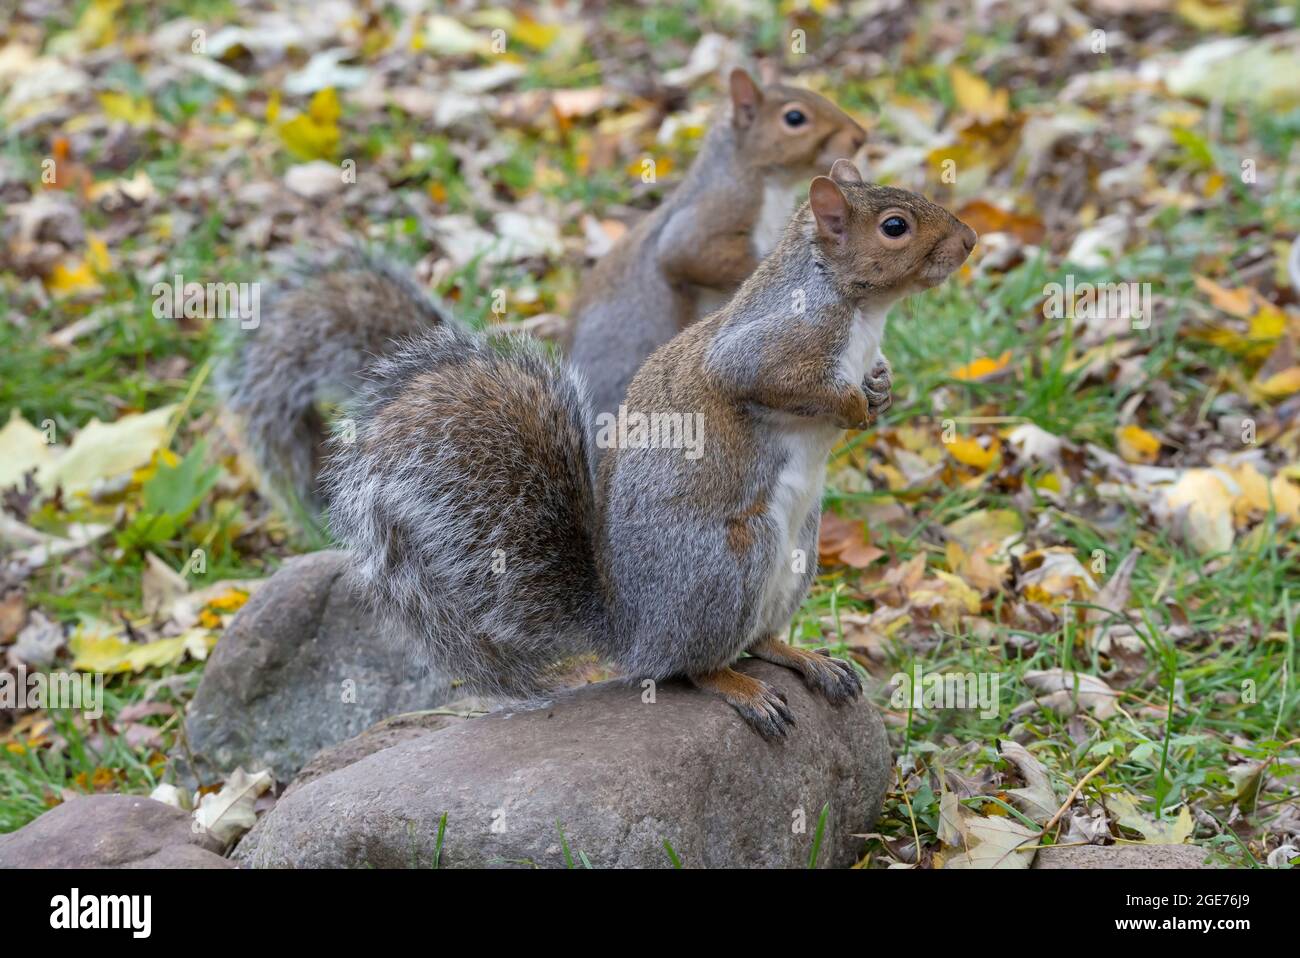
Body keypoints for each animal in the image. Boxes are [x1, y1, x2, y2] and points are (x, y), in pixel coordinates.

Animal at [325, 160, 977, 738]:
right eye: (895, 226)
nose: (970, 240)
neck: (861, 310)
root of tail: (633, 631)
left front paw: (880, 390)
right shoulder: (773, 343)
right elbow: (765, 379)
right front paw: (853, 407)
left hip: (799, 555)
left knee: (760, 642)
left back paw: (805, 658)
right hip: (729, 562)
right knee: (695, 666)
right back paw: (739, 689)